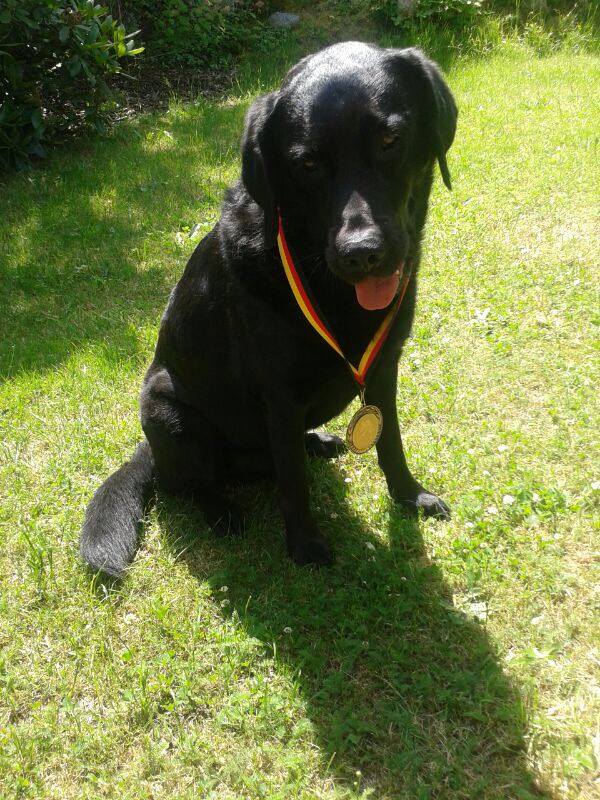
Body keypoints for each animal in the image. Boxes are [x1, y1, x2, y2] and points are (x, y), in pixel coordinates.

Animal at [80, 41, 457, 576]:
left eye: (390, 139)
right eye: (307, 165)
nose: (361, 253)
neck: (325, 284)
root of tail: (147, 454)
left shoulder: (385, 367)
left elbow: (390, 441)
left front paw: (409, 495)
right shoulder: (279, 398)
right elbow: (293, 484)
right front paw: (305, 545)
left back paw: (318, 442)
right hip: (166, 410)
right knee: (192, 485)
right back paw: (222, 513)